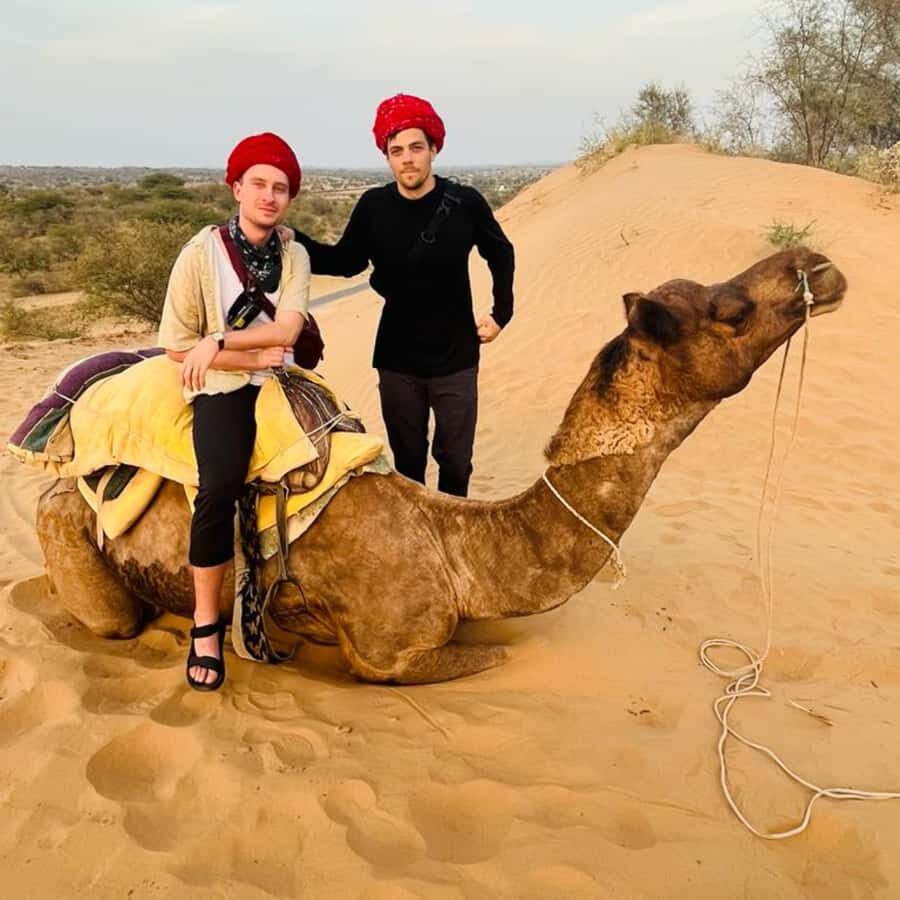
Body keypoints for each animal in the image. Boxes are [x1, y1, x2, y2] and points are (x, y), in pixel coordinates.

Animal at [35, 247, 847, 684]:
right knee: (109, 617)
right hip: (68, 533)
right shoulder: (391, 655)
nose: (818, 265)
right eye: (732, 310)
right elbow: (492, 660)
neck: (459, 549)